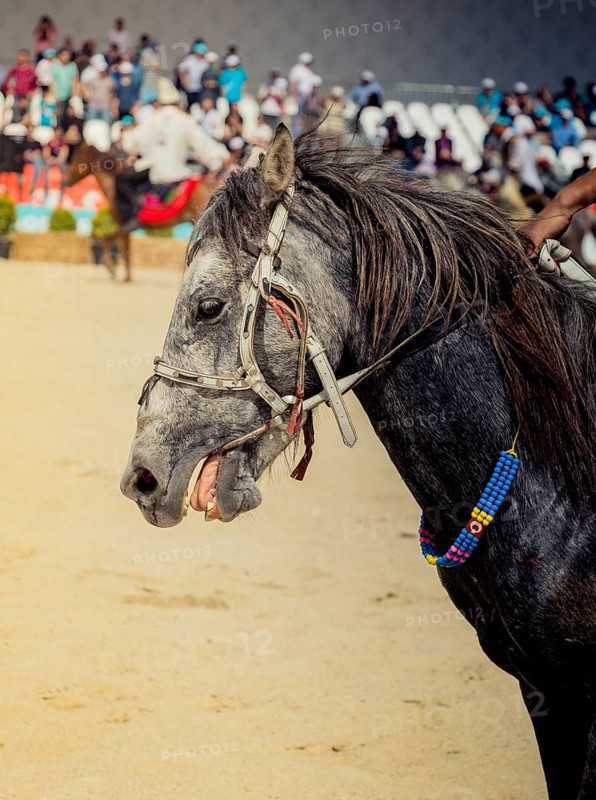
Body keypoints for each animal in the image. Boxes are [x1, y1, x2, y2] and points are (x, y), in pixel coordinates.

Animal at [62, 143, 218, 282]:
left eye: (76, 159)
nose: (64, 180)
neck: (114, 188)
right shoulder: (125, 228)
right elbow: (123, 250)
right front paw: (126, 277)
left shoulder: (124, 225)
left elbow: (109, 242)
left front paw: (114, 270)